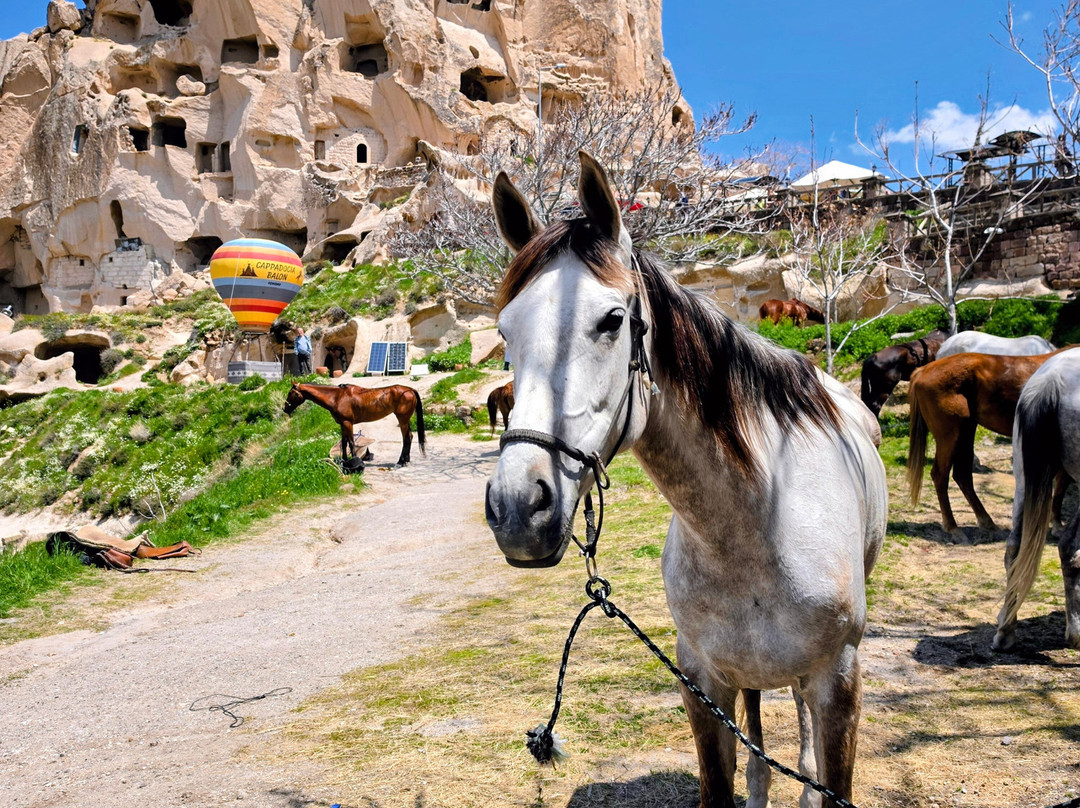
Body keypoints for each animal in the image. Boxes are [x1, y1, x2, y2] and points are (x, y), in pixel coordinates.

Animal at [283, 382, 425, 466]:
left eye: (291, 393)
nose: (285, 408)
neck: (337, 397)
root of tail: (410, 390)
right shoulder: (342, 424)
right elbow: (344, 443)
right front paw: (344, 461)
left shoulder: (348, 423)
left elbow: (351, 443)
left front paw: (356, 462)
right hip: (405, 420)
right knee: (410, 437)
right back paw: (405, 460)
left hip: (402, 419)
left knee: (406, 438)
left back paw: (401, 461)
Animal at [485, 153, 887, 808]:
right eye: (504, 332)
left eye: (612, 320)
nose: (519, 508)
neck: (757, 523)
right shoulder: (701, 679)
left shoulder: (840, 679)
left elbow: (831, 780)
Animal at [907, 348, 1072, 533]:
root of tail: (923, 370)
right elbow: (1061, 484)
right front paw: (1057, 524)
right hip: (949, 437)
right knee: (940, 475)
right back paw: (952, 527)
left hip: (966, 431)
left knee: (962, 475)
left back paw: (985, 520)